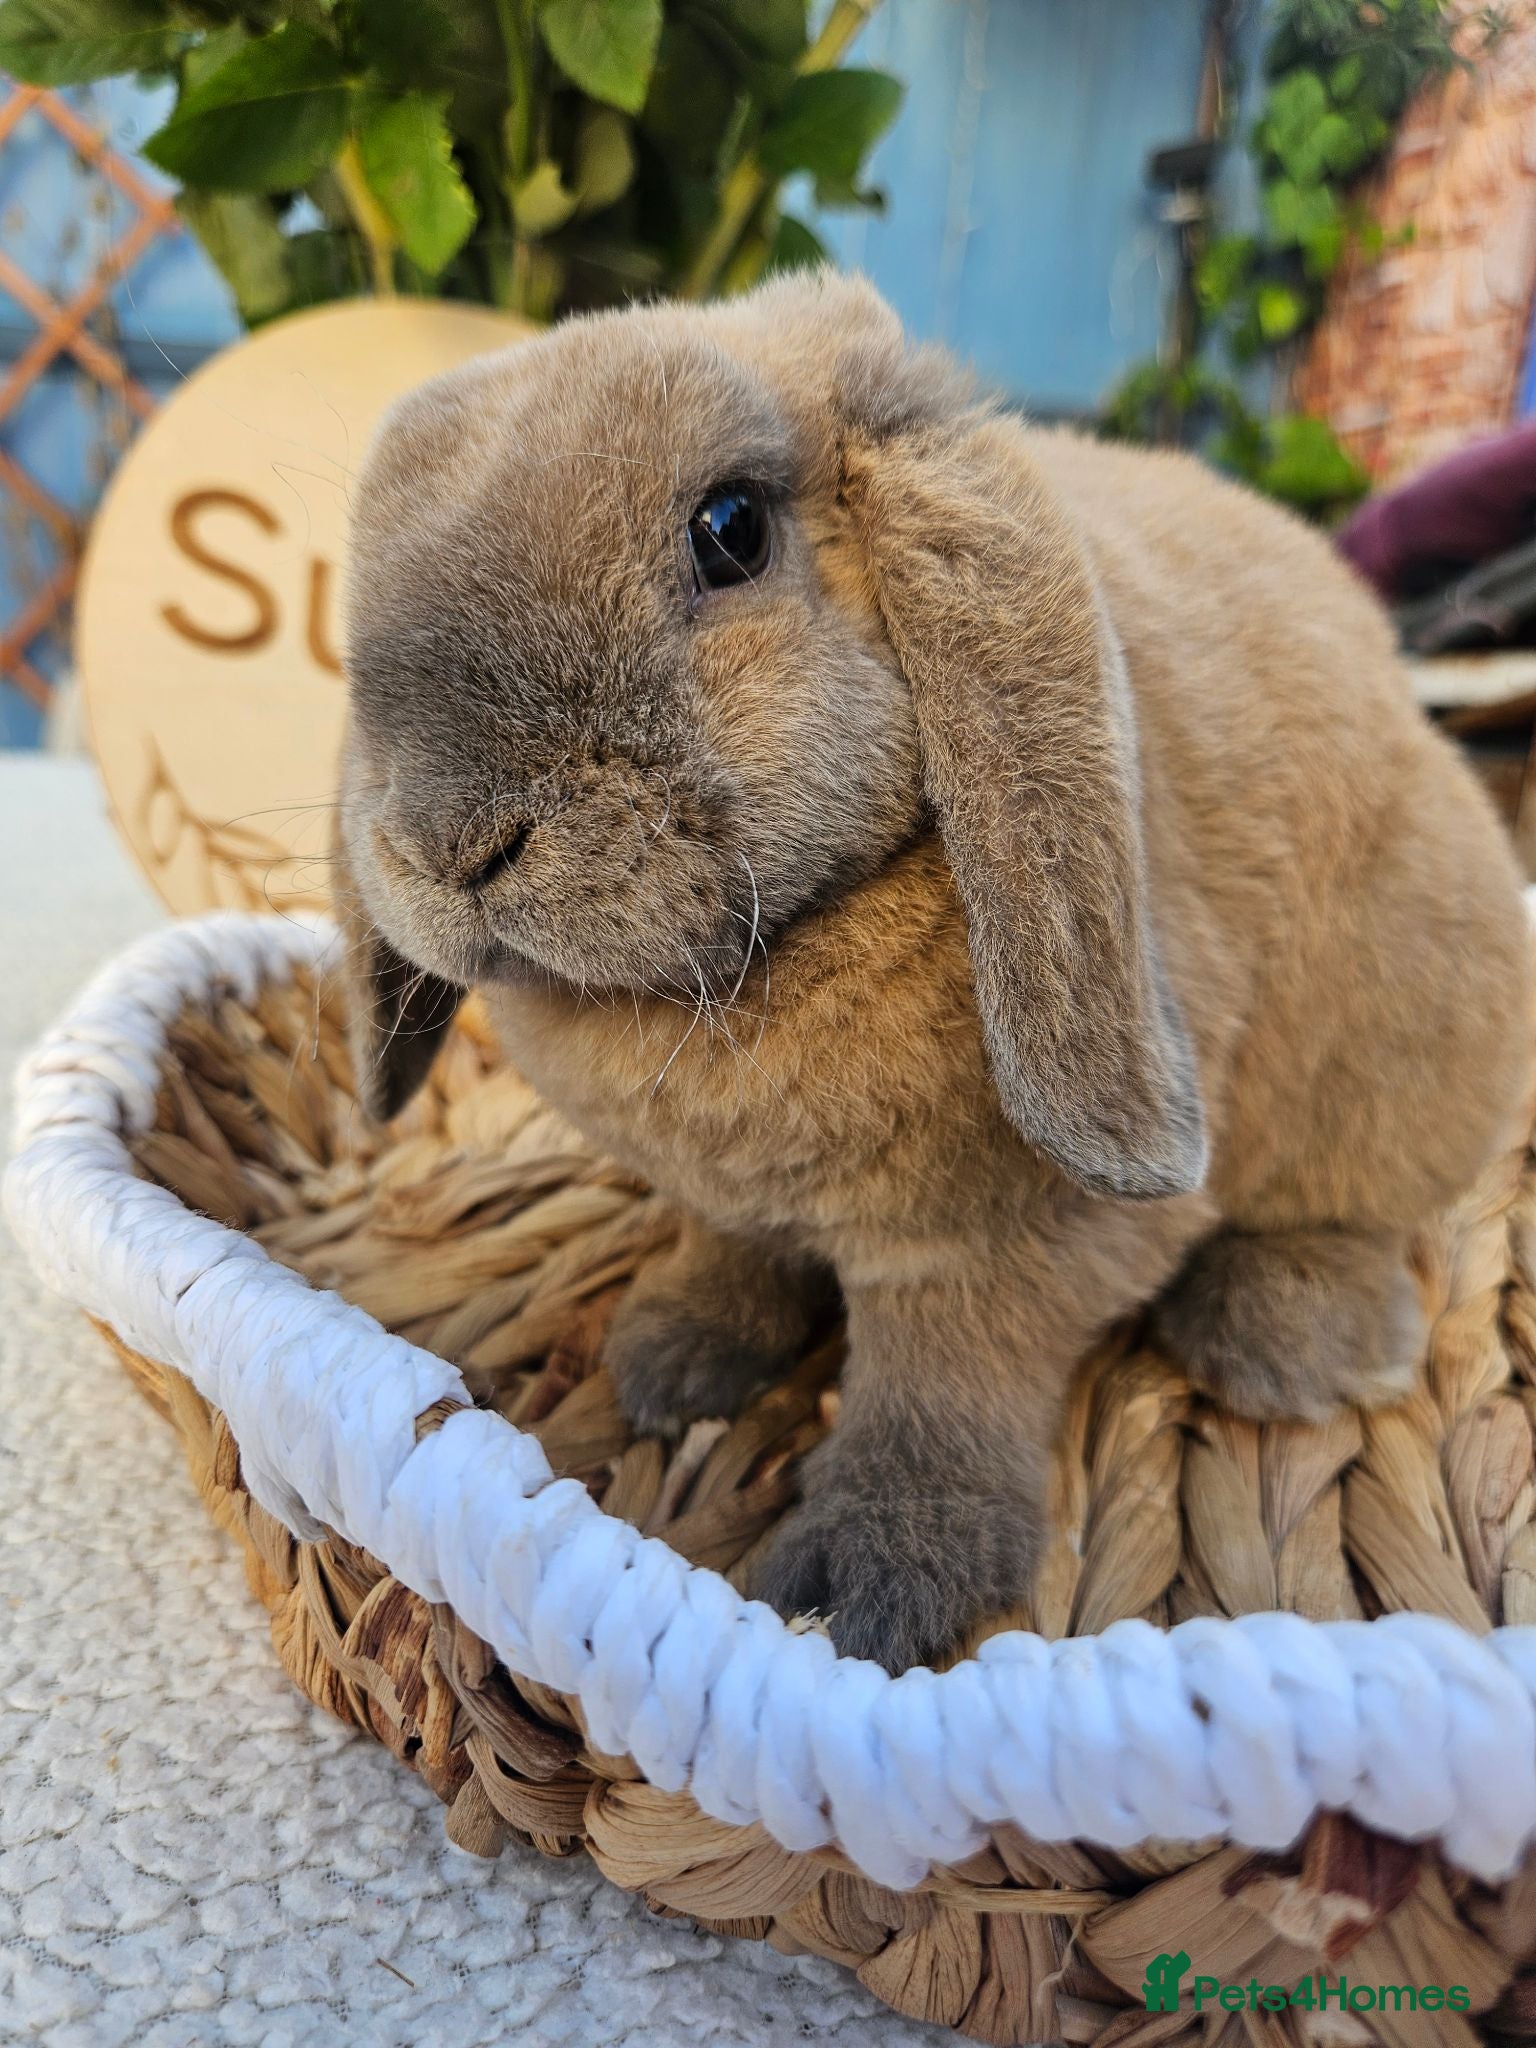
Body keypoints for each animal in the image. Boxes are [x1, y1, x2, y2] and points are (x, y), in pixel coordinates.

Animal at [333, 269, 1533, 1674]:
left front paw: (862, 1589)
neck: (749, 968)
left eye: (731, 529)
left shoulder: (995, 1255)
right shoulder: (726, 1200)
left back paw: (1291, 1343)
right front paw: (670, 1358)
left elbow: (941, 1389)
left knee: (1362, 1215)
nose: (449, 841)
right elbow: (732, 1253)